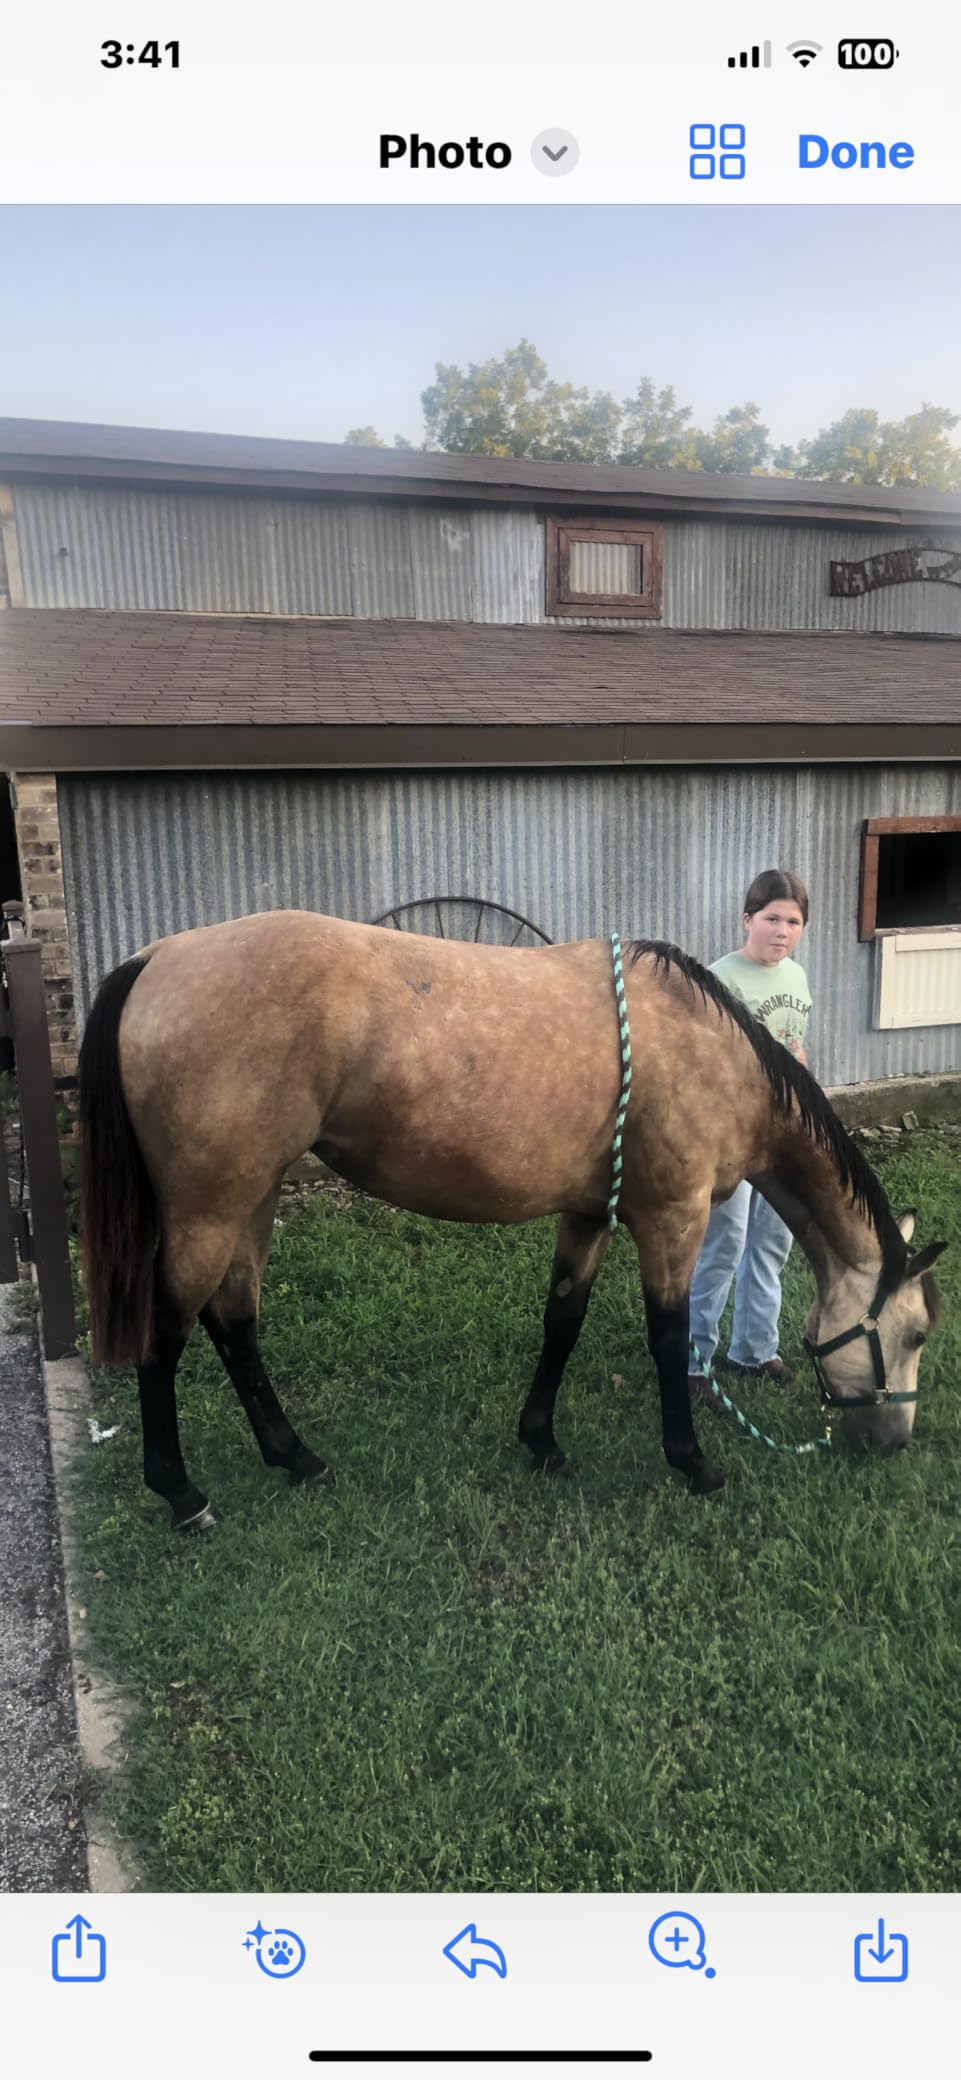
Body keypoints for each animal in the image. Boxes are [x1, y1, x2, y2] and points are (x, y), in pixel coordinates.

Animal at [77, 910, 945, 1534]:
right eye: (912, 1334)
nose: (894, 1442)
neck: (709, 1049)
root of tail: (157, 957)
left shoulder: (589, 1214)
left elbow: (561, 1320)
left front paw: (542, 1443)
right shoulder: (672, 1219)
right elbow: (667, 1340)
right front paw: (693, 1464)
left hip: (250, 1199)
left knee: (234, 1320)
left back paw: (296, 1458)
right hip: (210, 1207)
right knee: (167, 1333)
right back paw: (182, 1494)